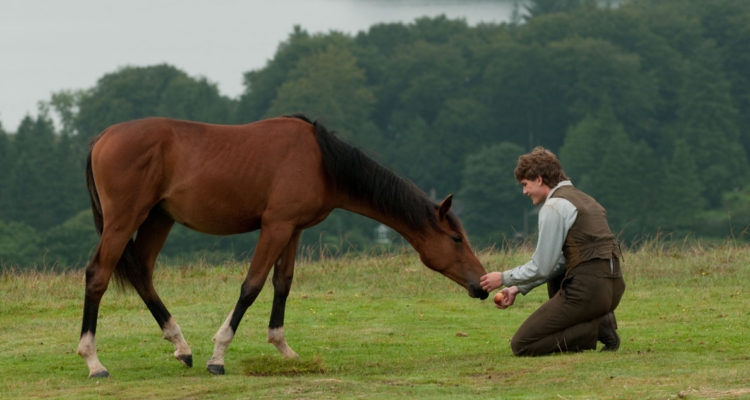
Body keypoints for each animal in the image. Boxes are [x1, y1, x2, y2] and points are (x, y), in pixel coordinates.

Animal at [78, 115, 489, 378]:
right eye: (456, 239)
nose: (482, 285)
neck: (321, 161)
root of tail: (100, 138)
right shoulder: (275, 227)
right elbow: (252, 286)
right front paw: (219, 354)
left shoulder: (293, 230)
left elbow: (282, 284)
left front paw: (283, 348)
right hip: (124, 220)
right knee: (98, 275)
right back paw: (93, 361)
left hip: (158, 219)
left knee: (143, 275)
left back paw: (181, 345)